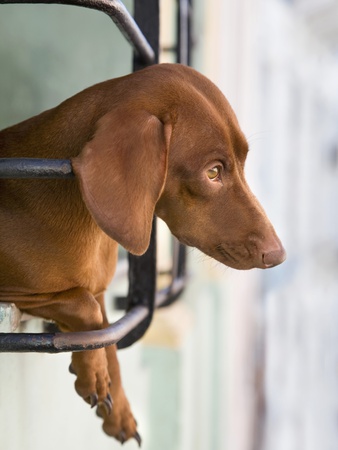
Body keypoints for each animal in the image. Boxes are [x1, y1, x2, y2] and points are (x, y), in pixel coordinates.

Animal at [0, 63, 286, 442]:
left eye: (242, 161)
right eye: (213, 172)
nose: (278, 255)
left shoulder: (100, 292)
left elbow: (105, 336)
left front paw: (117, 407)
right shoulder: (21, 290)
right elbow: (84, 307)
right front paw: (94, 374)